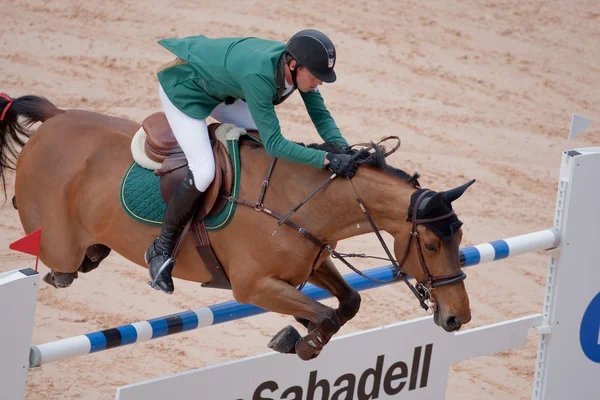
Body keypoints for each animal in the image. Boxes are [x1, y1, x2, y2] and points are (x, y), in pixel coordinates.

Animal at [2, 93, 476, 360]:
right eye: (431, 245)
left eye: (459, 239)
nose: (457, 318)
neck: (298, 202)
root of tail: (56, 117)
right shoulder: (253, 287)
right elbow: (324, 313)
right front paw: (301, 342)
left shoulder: (309, 264)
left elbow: (347, 303)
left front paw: (297, 334)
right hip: (57, 242)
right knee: (58, 267)